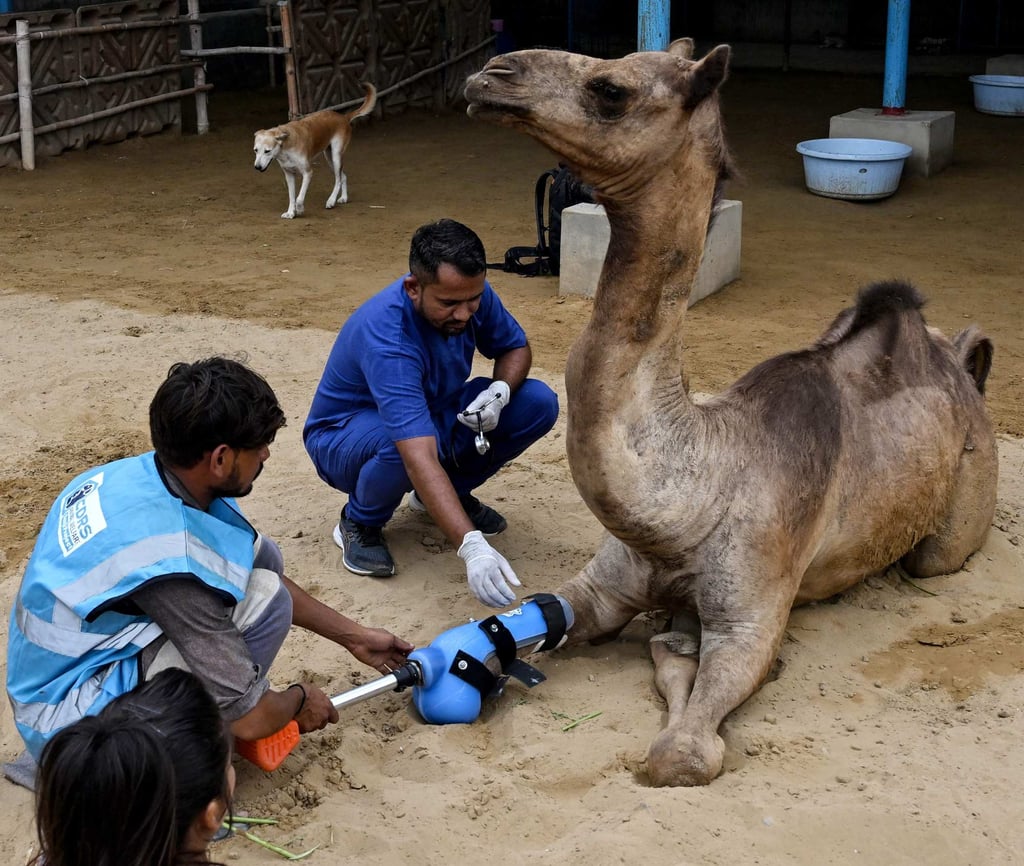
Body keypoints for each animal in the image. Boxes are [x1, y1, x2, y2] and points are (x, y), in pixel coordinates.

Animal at [464, 39, 998, 786]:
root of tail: (965, 364)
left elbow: (680, 753)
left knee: (935, 557)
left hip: (955, 521)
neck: (697, 490)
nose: (491, 75)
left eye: (611, 88)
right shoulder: (603, 583)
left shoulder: (752, 617)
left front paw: (692, 660)